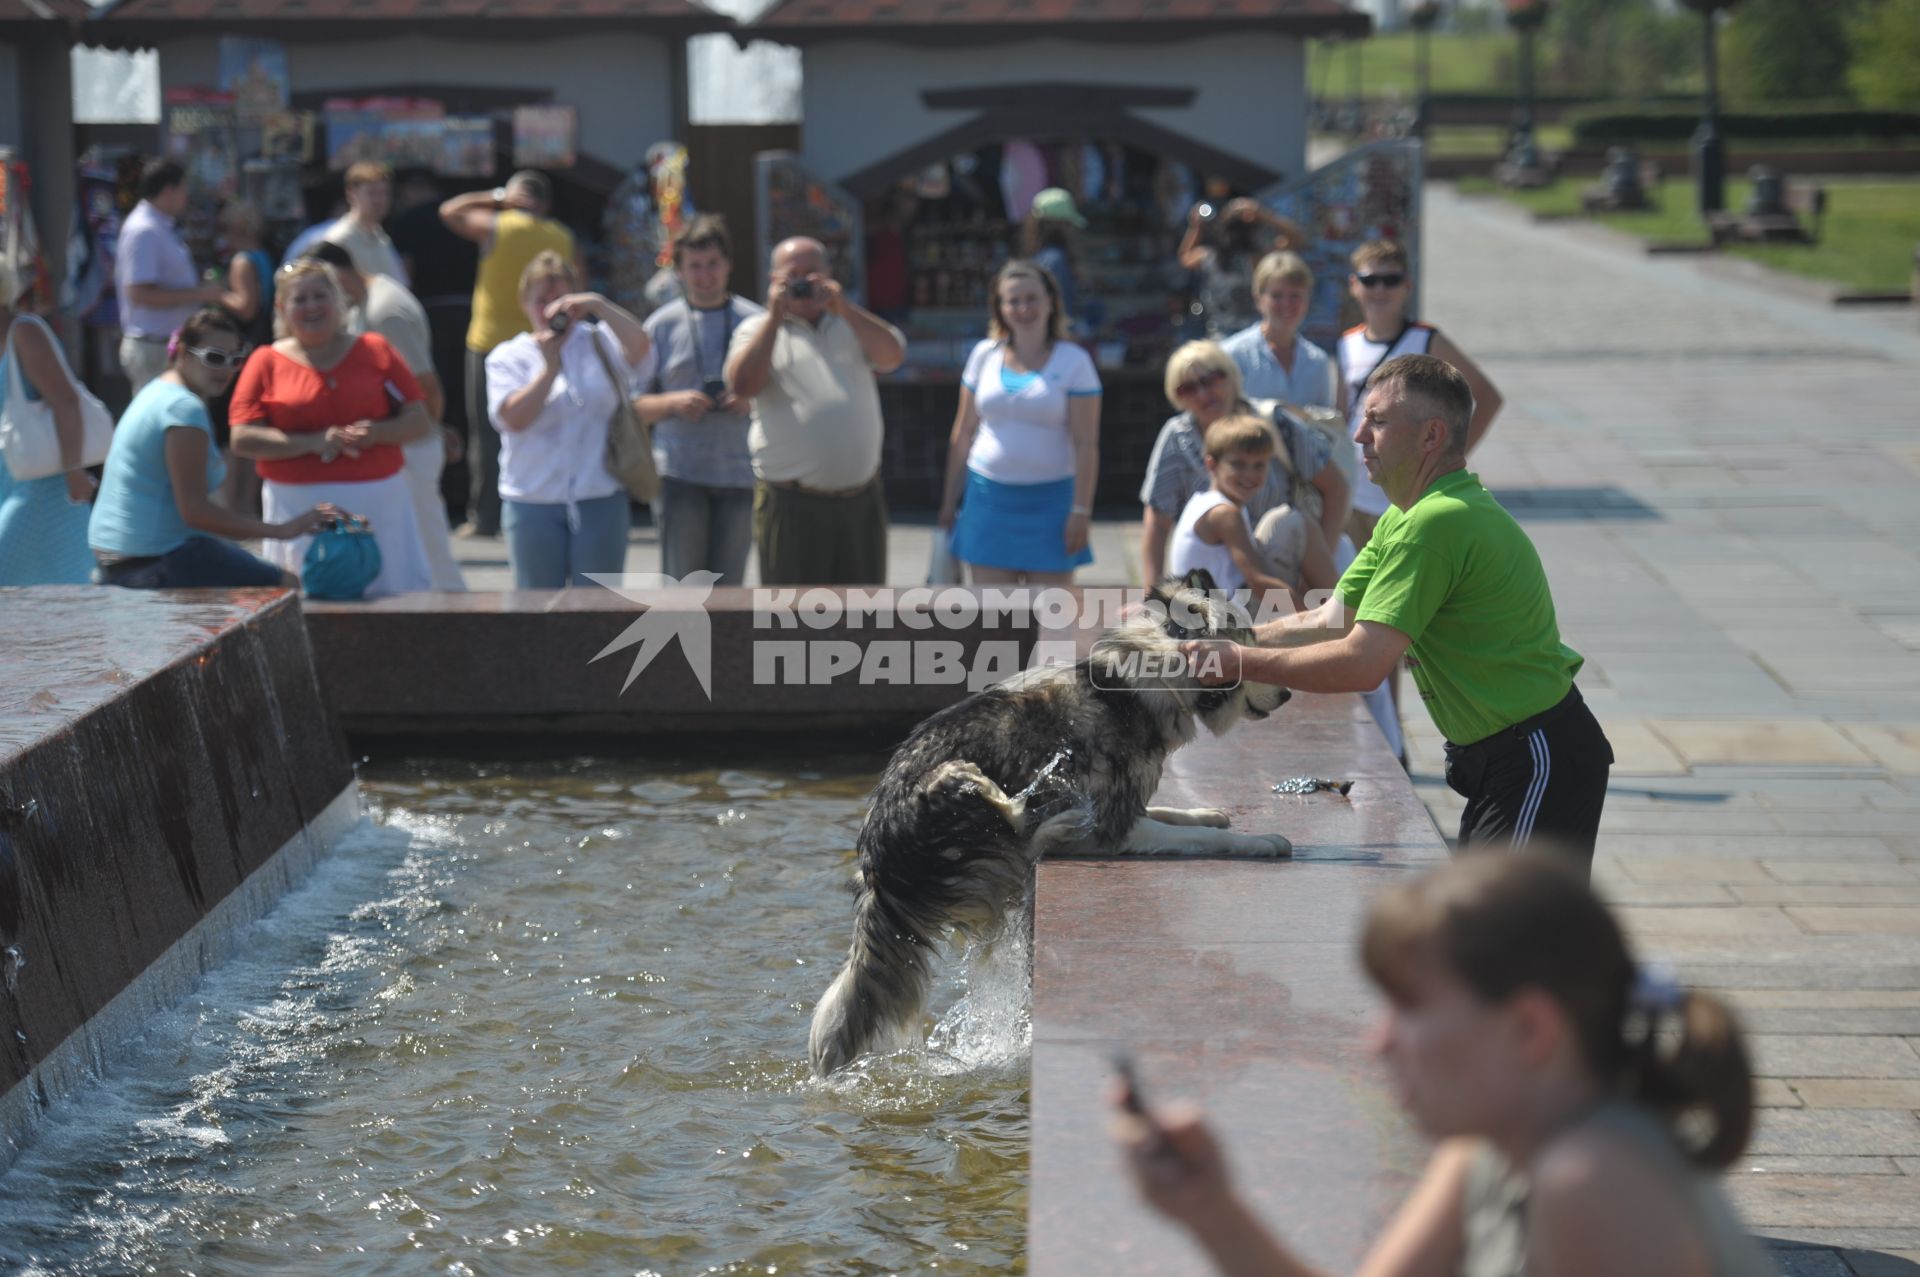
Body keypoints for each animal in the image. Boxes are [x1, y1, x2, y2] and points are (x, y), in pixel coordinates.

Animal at [806, 572, 1290, 1067]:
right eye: (1250, 649)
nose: (1289, 692)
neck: (1147, 673)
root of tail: (874, 869)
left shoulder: (1124, 806)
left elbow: (1177, 815)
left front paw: (1209, 813)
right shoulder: (1114, 828)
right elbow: (1196, 838)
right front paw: (1262, 841)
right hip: (954, 776)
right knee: (1018, 829)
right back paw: (1051, 824)